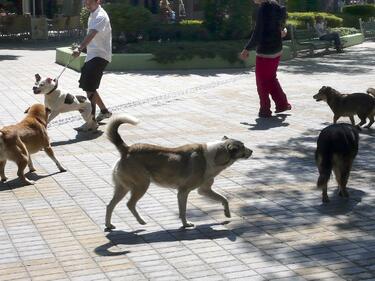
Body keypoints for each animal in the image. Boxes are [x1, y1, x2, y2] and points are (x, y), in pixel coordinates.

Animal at [104, 114, 254, 230]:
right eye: (243, 147)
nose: (252, 151)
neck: (214, 155)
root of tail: (127, 149)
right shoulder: (183, 192)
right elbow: (183, 211)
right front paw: (186, 224)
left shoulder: (204, 190)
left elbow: (224, 199)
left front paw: (227, 213)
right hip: (141, 185)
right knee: (129, 204)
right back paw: (141, 221)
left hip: (122, 188)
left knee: (109, 205)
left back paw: (109, 225)